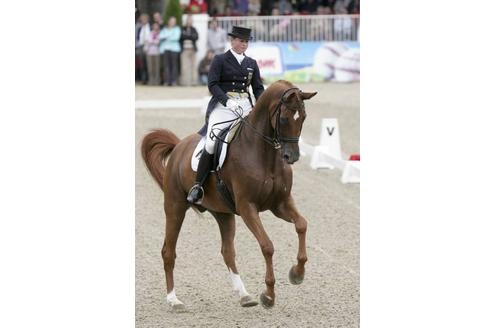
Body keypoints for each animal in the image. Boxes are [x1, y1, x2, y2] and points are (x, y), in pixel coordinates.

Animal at [140, 80, 318, 310]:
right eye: (284, 118)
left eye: (303, 117)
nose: (292, 157)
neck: (265, 155)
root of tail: (179, 146)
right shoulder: (247, 207)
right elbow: (267, 246)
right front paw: (268, 295)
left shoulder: (280, 204)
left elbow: (302, 225)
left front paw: (297, 274)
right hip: (175, 207)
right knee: (168, 251)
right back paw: (173, 300)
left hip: (223, 213)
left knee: (228, 252)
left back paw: (244, 295)